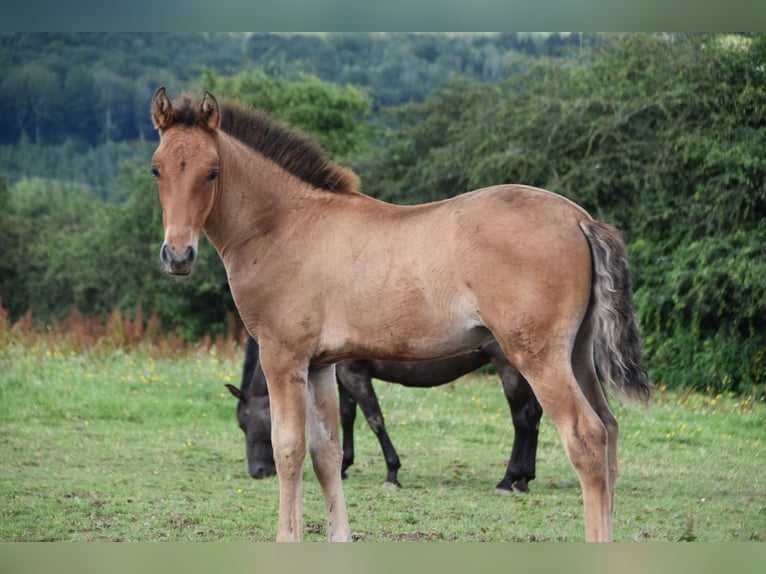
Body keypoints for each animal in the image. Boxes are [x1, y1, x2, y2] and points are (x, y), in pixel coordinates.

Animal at [225, 338, 544, 496]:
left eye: (244, 423)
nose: (258, 472)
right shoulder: (342, 376)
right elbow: (346, 417)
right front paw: (344, 465)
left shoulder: (355, 374)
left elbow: (374, 419)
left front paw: (392, 472)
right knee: (534, 417)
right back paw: (524, 479)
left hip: (509, 369)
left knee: (522, 418)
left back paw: (508, 480)